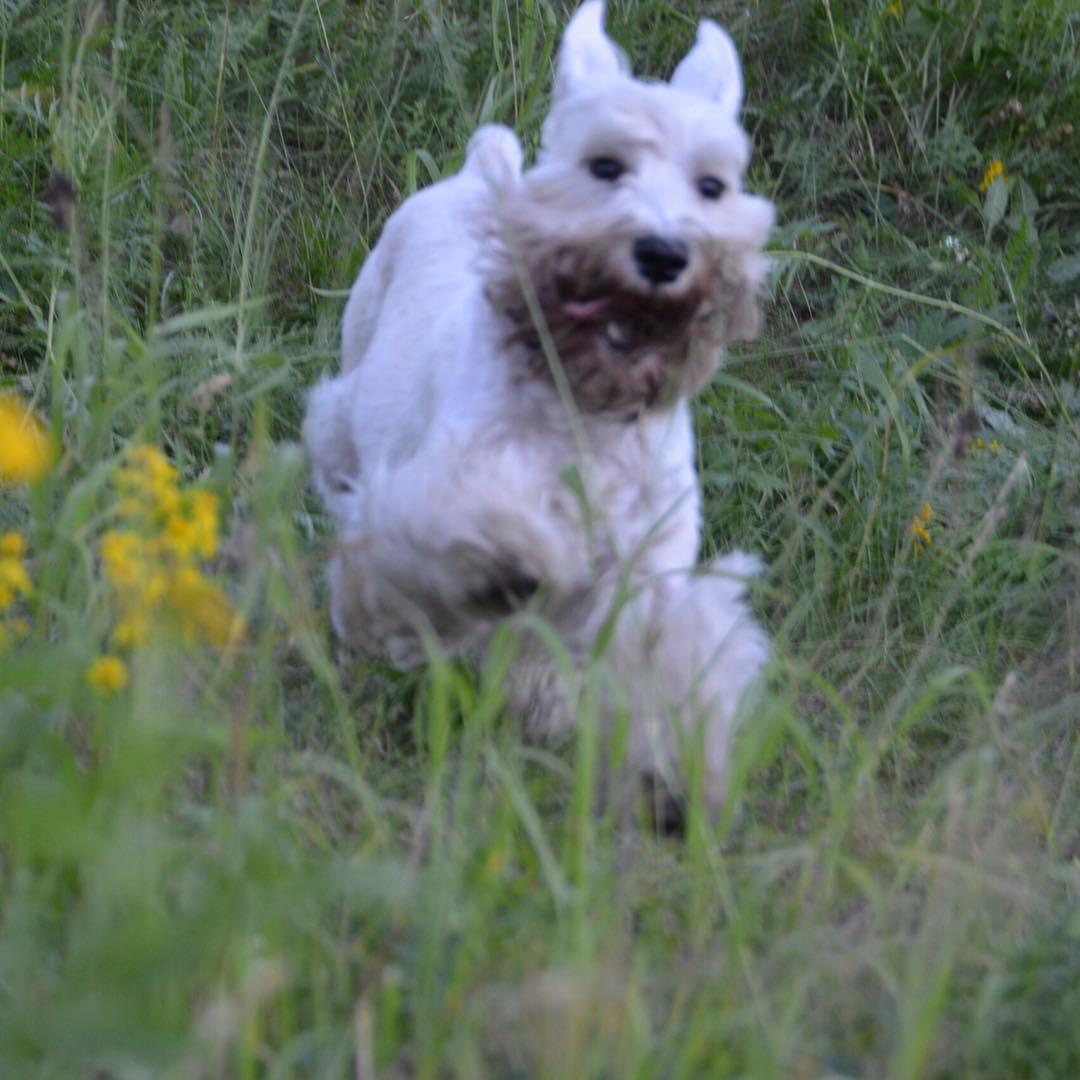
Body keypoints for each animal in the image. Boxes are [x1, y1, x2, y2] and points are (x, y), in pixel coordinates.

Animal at [304, 2, 777, 803]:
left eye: (712, 186)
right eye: (605, 166)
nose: (663, 254)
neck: (586, 404)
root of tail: (477, 171)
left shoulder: (648, 563)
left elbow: (651, 646)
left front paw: (671, 758)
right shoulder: (455, 479)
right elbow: (495, 526)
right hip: (349, 405)